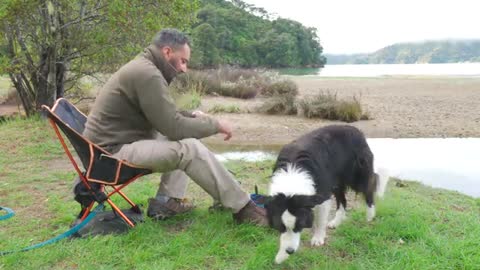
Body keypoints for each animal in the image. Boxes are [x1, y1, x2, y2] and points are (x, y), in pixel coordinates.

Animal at [264, 125, 388, 264]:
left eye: (299, 226)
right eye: (280, 227)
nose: (290, 251)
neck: (292, 177)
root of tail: (355, 129)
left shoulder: (322, 195)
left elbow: (320, 220)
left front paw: (318, 239)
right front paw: (281, 255)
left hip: (357, 174)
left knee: (369, 189)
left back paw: (370, 215)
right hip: (336, 181)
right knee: (342, 200)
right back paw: (336, 222)